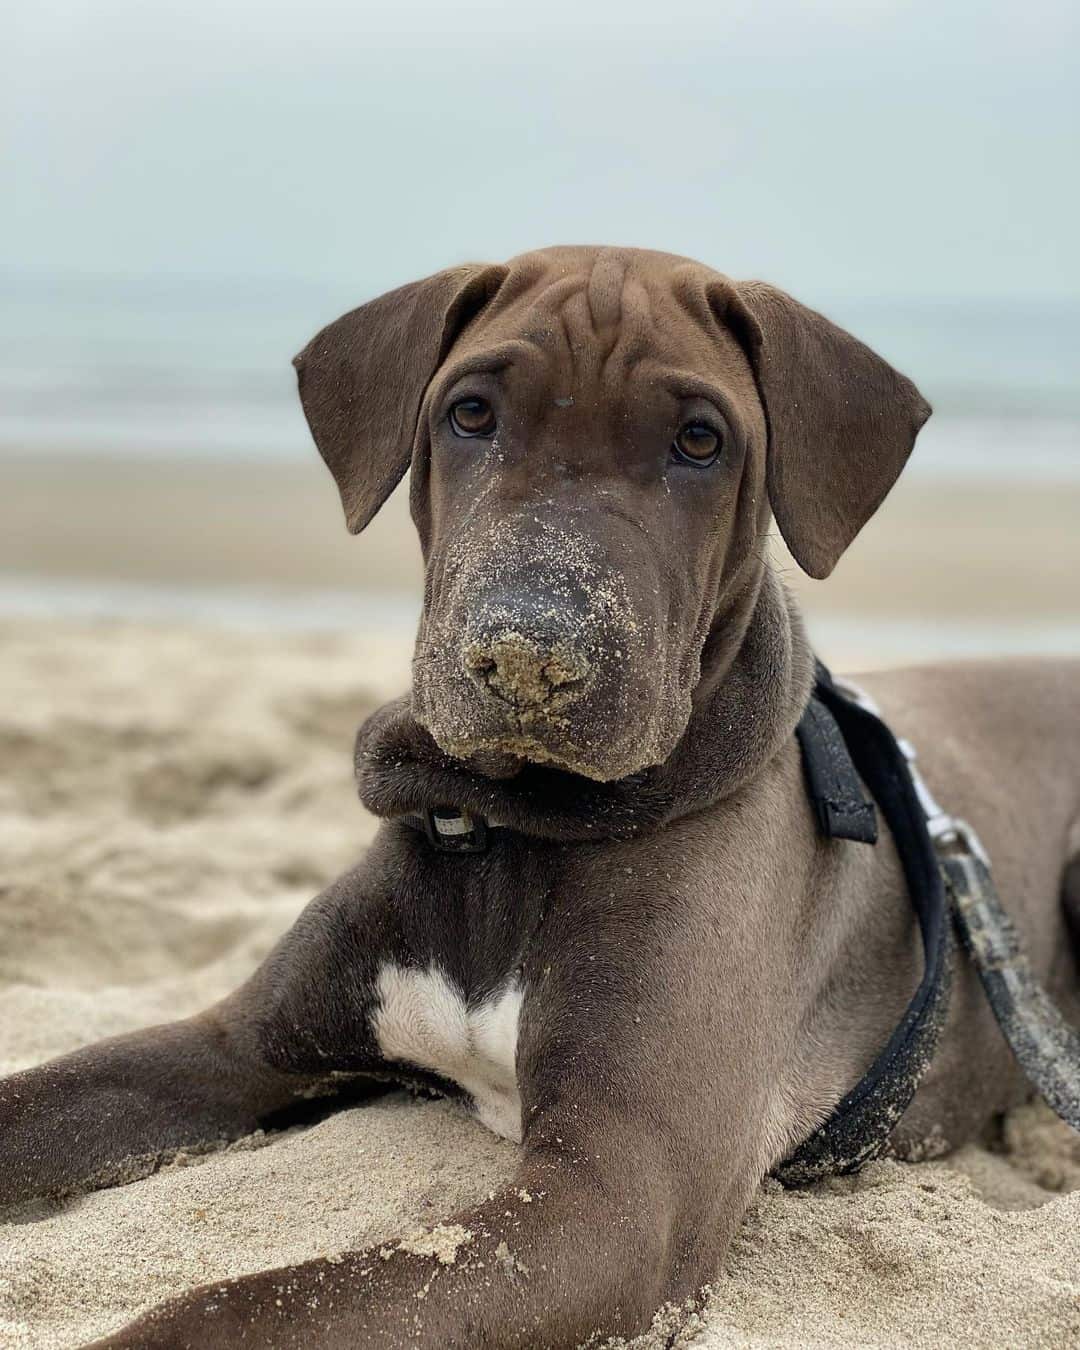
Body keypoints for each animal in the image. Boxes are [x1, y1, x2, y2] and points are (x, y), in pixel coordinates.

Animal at [2, 248, 1080, 1344]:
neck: (507, 833)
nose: (528, 657)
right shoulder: (241, 1042)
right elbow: (38, 1102)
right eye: (471, 414)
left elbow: (241, 1306)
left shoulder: (617, 1200)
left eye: (700, 440)